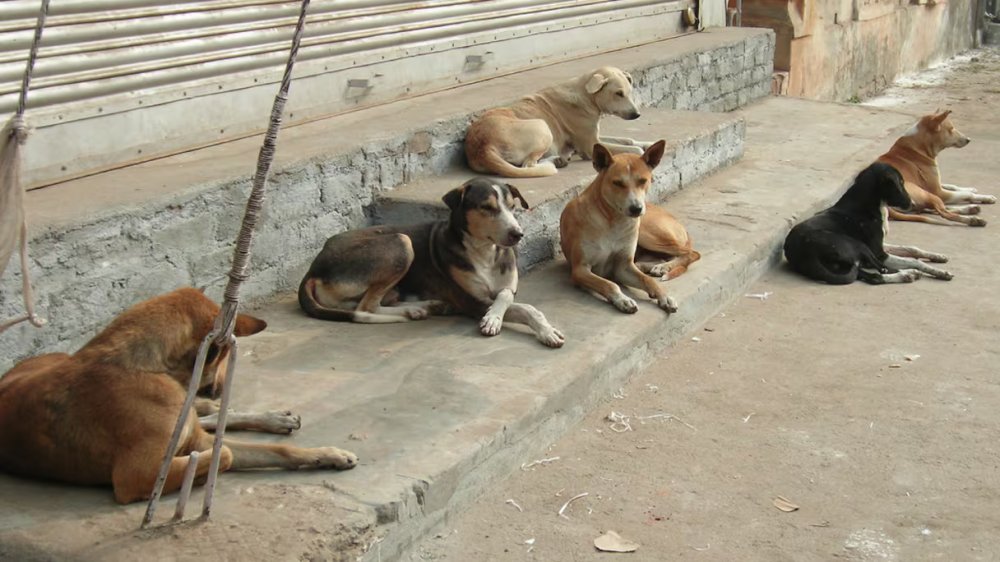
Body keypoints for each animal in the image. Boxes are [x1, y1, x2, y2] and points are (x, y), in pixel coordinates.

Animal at [0, 288, 358, 504]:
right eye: (224, 356)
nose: (218, 386)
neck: (149, 367)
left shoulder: (197, 438)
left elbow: (276, 451)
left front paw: (328, 454)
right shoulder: (136, 477)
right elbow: (226, 453)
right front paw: (197, 478)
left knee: (210, 414)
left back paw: (271, 418)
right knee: (211, 418)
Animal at [466, 66, 656, 178]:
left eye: (629, 91)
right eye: (618, 93)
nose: (637, 114)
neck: (585, 95)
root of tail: (482, 147)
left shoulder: (595, 137)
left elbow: (628, 140)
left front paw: (648, 143)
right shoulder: (590, 147)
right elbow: (633, 149)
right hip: (542, 128)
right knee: (528, 165)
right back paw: (556, 161)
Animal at [560, 139, 692, 316]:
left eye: (643, 181)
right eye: (617, 183)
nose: (636, 209)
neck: (612, 221)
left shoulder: (622, 267)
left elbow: (647, 279)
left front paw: (665, 296)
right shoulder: (580, 270)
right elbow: (609, 284)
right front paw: (622, 300)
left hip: (648, 234)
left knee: (691, 253)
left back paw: (662, 267)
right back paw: (657, 266)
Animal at [780, 162, 952, 284]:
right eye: (900, 183)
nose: (913, 204)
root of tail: (804, 255)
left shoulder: (880, 246)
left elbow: (911, 248)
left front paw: (937, 257)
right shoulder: (879, 253)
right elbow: (913, 260)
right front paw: (939, 272)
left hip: (851, 263)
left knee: (873, 277)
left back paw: (905, 276)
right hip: (858, 246)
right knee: (882, 270)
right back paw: (909, 273)